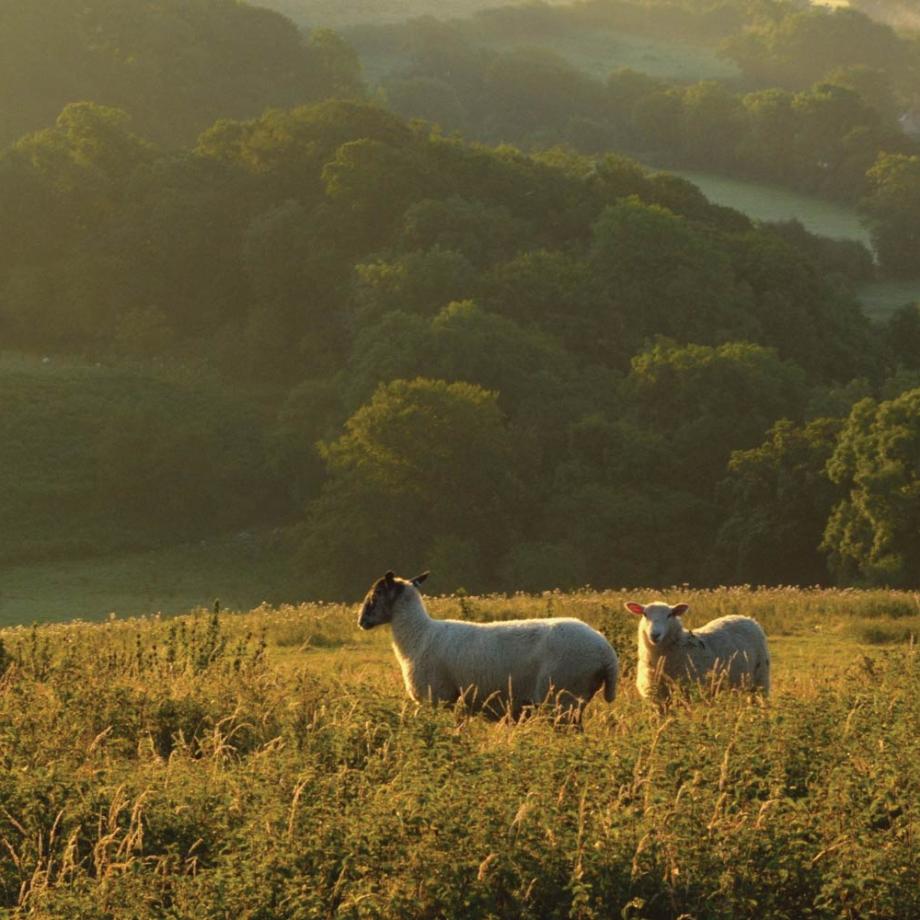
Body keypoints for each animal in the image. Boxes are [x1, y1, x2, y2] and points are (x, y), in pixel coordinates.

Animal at [358, 572, 620, 724]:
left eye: (377, 592)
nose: (361, 621)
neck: (418, 634)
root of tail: (606, 653)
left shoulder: (437, 698)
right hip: (573, 700)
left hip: (562, 698)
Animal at [624, 600, 768, 700]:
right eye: (644, 614)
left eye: (670, 615)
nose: (655, 635)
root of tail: (746, 618)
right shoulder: (658, 697)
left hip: (761, 679)